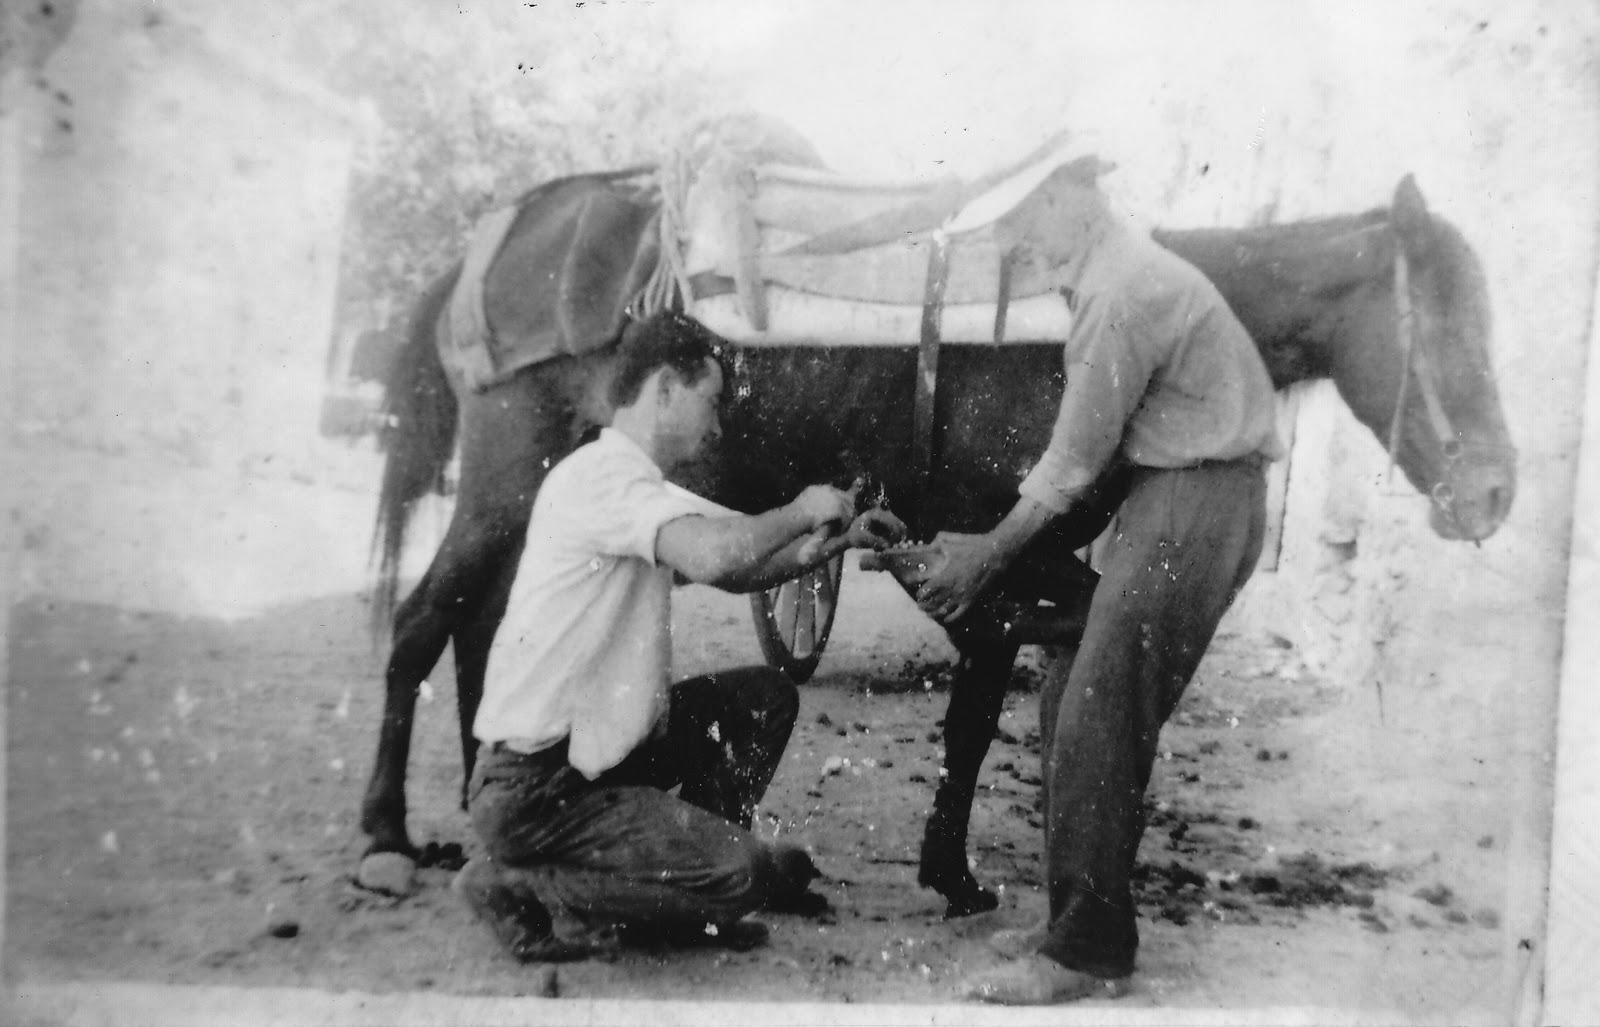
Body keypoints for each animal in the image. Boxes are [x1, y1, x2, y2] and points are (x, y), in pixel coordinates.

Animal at [356, 167, 1516, 908]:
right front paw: (955, 877)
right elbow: (976, 715)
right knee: (421, 625)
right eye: (1445, 318)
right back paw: (384, 836)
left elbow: (1029, 683)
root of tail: (503, 234)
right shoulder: (999, 559)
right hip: (505, 486)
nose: (1495, 494)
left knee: (481, 627)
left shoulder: (1018, 567)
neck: (1092, 319)